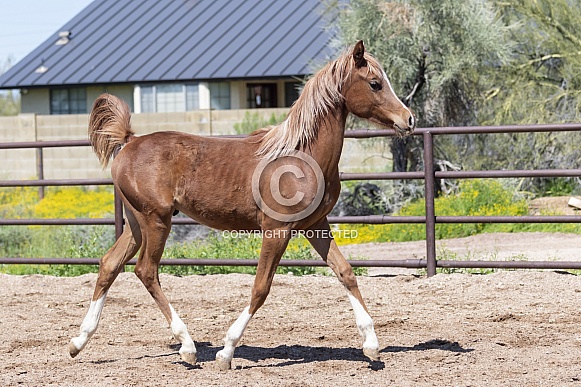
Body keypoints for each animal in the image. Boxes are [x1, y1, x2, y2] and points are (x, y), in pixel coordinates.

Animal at [69, 41, 412, 372]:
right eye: (375, 83)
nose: (408, 119)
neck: (301, 155)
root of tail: (128, 141)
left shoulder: (315, 225)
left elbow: (346, 272)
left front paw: (371, 345)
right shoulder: (277, 229)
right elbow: (261, 288)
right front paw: (226, 352)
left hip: (136, 223)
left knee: (109, 264)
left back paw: (78, 342)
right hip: (156, 221)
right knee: (146, 270)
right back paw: (188, 348)